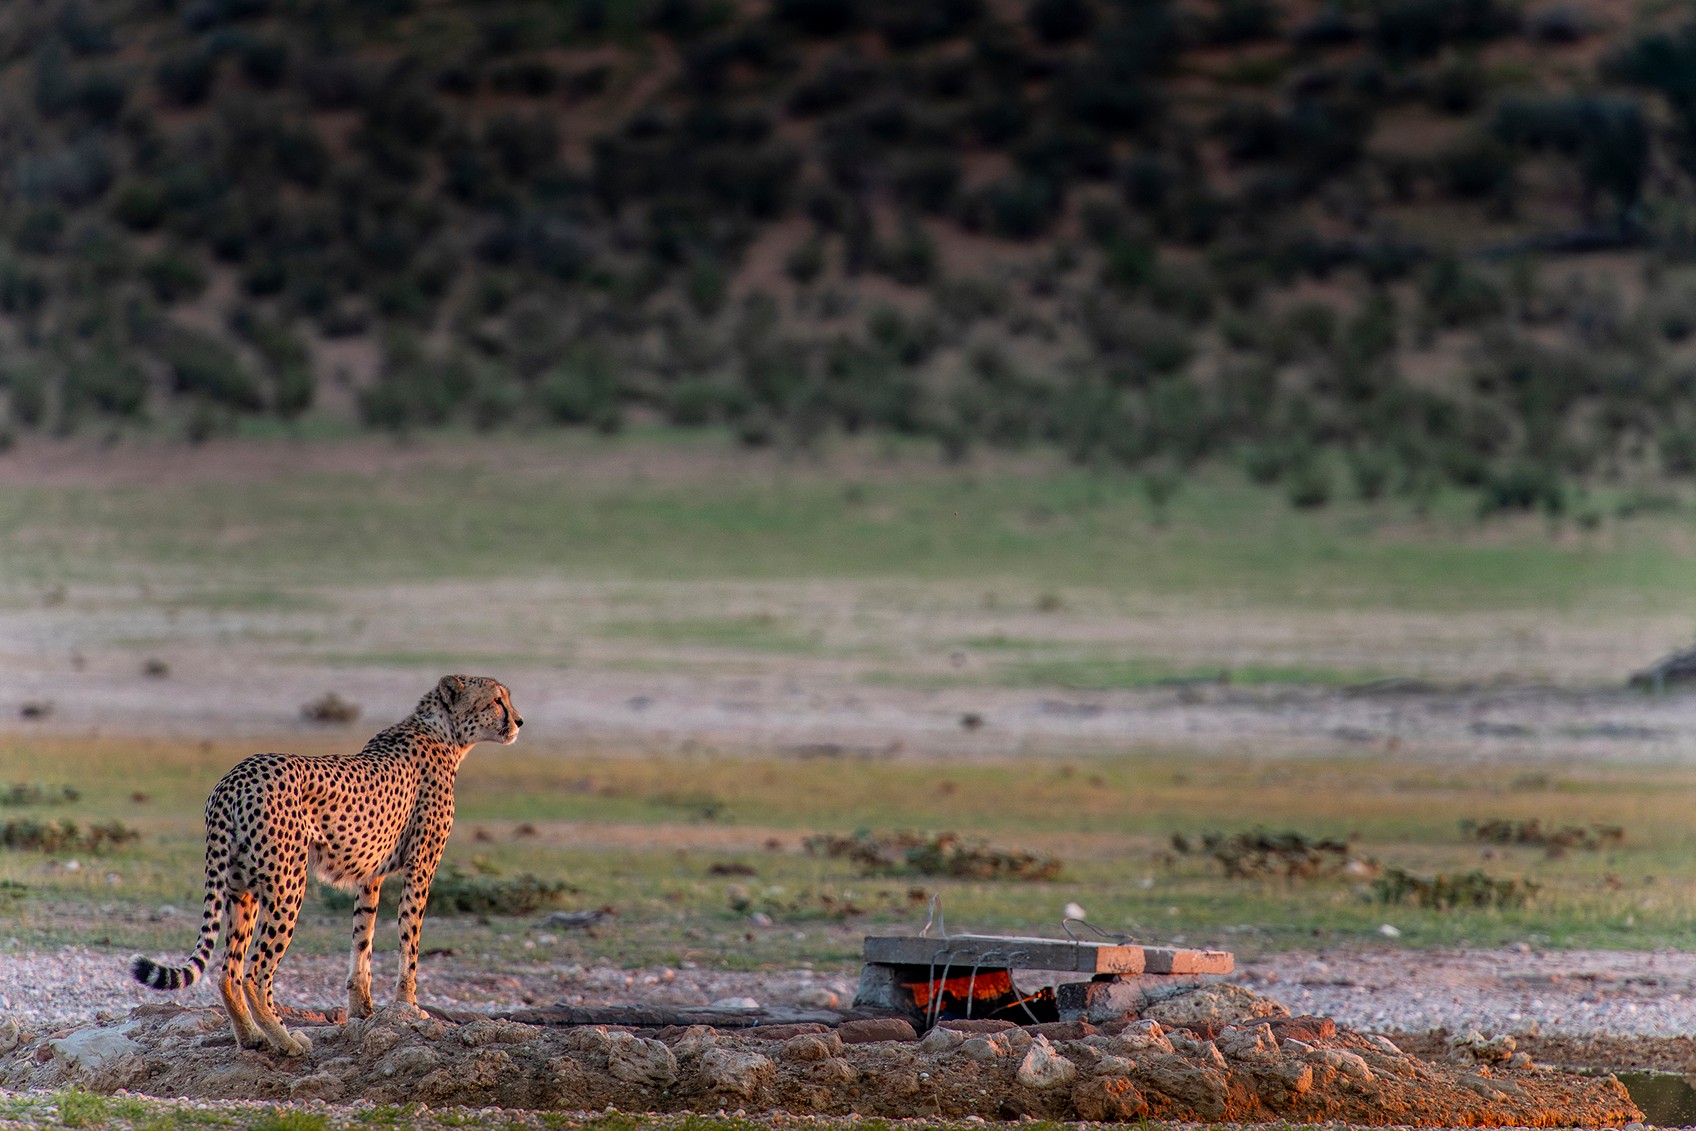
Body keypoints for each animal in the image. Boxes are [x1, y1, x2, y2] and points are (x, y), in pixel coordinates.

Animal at [131, 678, 518, 1058]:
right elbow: (410, 938)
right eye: (497, 700)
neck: (444, 733)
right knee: (256, 972)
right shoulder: (421, 866)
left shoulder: (371, 875)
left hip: (240, 888)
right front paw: (408, 1006)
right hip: (288, 884)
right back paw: (286, 1041)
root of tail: (235, 777)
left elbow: (363, 937)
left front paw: (362, 1010)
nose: (519, 721)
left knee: (230, 971)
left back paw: (252, 1038)